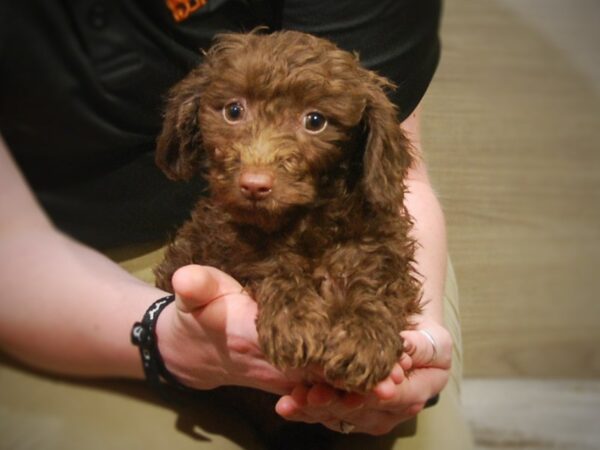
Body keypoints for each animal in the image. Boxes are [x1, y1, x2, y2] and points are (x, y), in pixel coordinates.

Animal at [155, 29, 422, 392]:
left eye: (315, 121)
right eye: (234, 110)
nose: (254, 185)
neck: (303, 221)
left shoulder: (380, 242)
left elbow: (375, 279)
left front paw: (364, 338)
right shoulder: (221, 248)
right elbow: (273, 264)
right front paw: (294, 319)